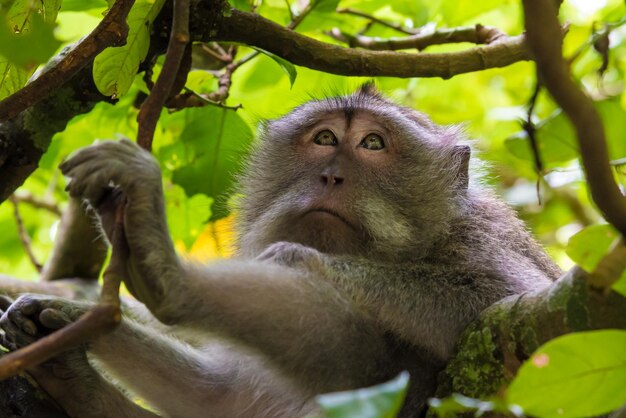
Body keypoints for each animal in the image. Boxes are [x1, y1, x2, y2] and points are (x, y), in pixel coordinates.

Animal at [0, 83, 556, 416]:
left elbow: (499, 309)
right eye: (325, 137)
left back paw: (166, 275)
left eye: (373, 144)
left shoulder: (481, 240)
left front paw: (301, 259)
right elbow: (216, 400)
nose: (331, 176)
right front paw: (76, 334)